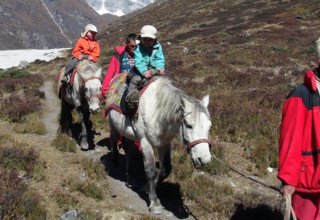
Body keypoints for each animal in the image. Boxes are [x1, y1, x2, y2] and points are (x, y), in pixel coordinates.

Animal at [107, 76, 212, 214]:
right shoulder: (146, 143)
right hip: (113, 125)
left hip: (130, 134)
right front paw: (154, 203)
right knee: (113, 142)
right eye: (189, 125)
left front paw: (147, 188)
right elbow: (151, 171)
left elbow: (165, 170)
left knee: (129, 151)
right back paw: (114, 164)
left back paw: (129, 179)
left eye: (209, 126)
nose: (204, 159)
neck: (158, 112)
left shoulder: (165, 144)